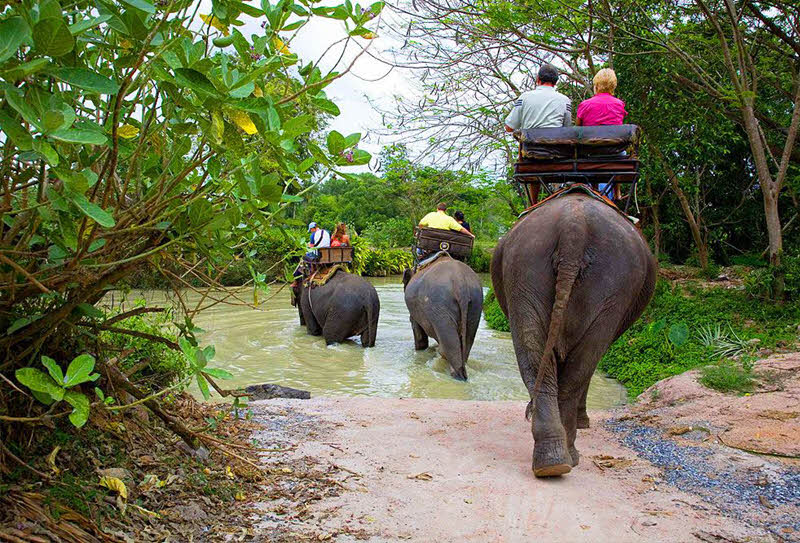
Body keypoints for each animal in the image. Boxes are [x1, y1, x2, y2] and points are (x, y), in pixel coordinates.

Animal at [494, 193, 656, 478]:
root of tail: (573, 226)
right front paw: (584, 423)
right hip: (614, 286)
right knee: (581, 366)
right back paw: (569, 455)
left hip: (523, 268)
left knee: (534, 356)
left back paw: (551, 463)